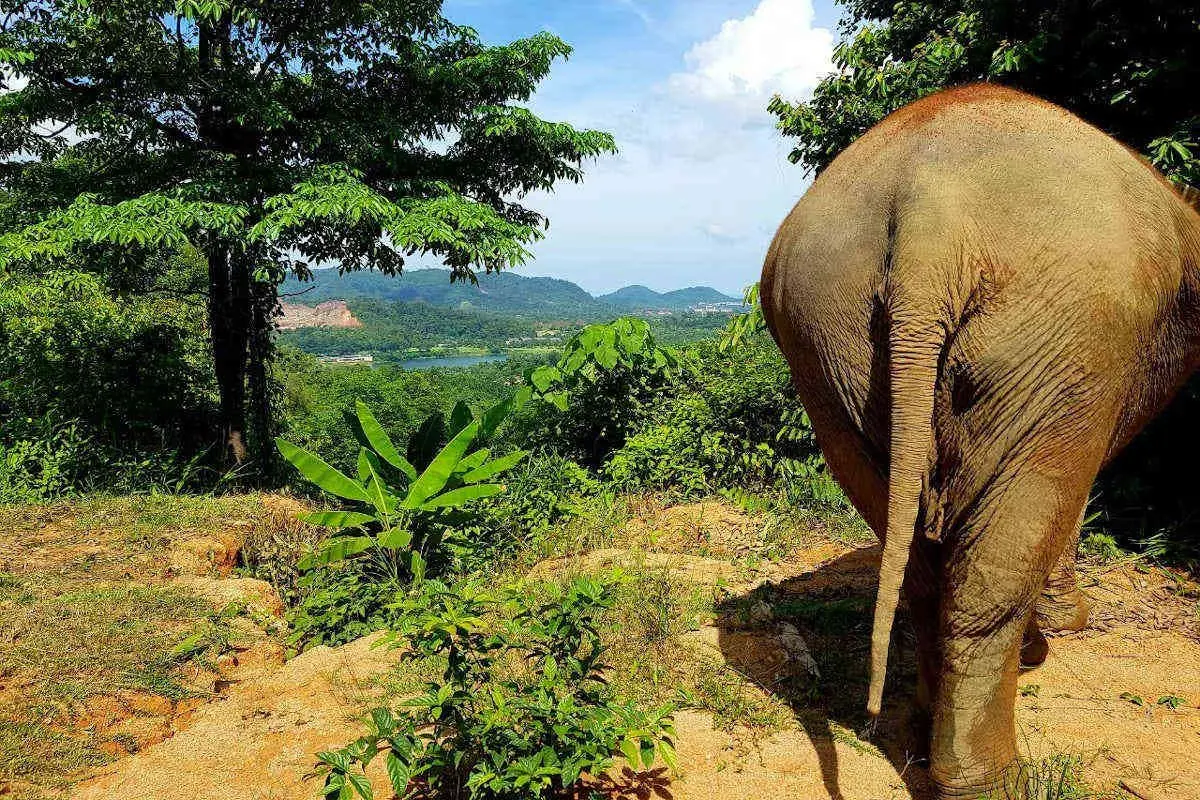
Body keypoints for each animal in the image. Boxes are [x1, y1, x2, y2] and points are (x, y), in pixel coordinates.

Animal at [760, 83, 1200, 798]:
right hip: (1066, 336)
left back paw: (918, 732)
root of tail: (928, 223)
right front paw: (1066, 623)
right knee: (1010, 539)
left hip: (823, 339)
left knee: (910, 551)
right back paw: (991, 778)